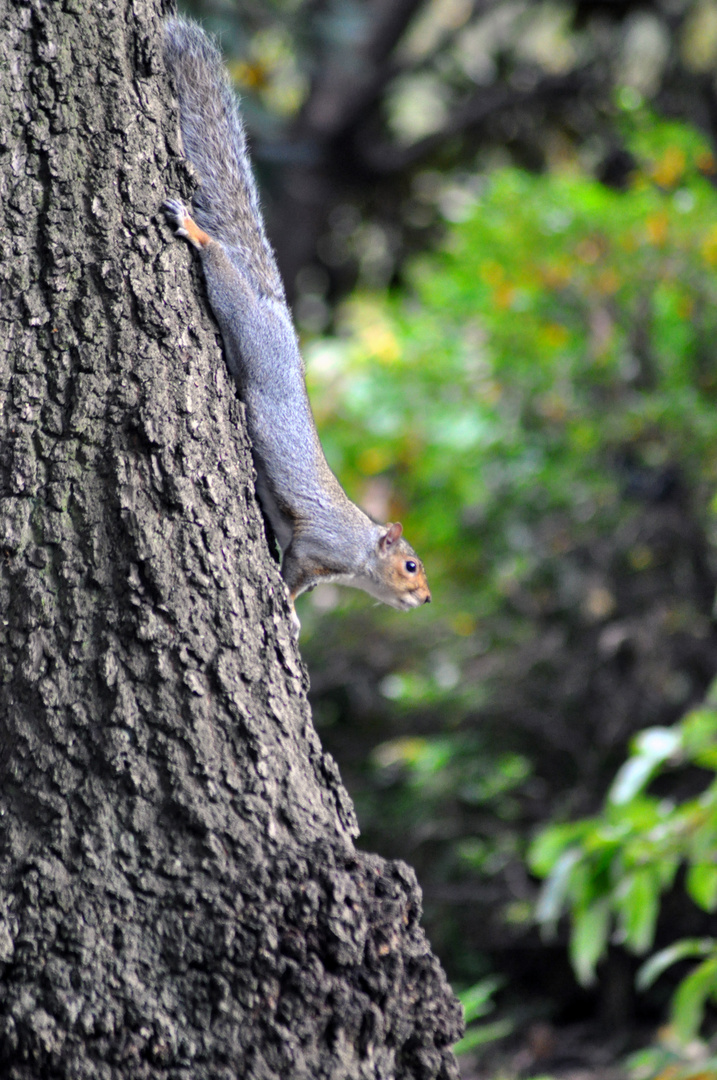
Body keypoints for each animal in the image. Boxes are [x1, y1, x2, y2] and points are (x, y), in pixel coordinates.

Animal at [160, 16, 431, 635]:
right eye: (410, 565)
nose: (427, 599)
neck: (358, 550)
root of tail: (276, 309)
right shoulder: (315, 547)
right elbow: (292, 574)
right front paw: (284, 607)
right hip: (243, 321)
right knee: (221, 270)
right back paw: (198, 233)